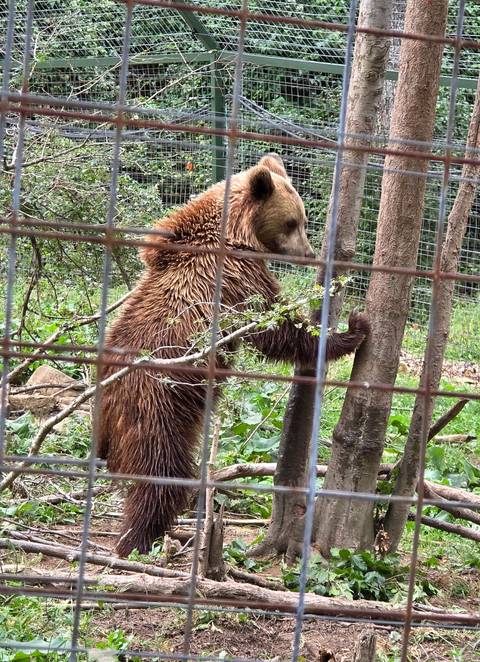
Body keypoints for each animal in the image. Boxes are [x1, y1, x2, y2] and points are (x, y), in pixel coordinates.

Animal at [98, 154, 369, 557]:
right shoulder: (238, 279)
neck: (236, 232)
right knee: (160, 470)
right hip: (160, 404)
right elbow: (277, 329)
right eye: (293, 222)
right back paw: (138, 536)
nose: (308, 253)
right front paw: (351, 329)